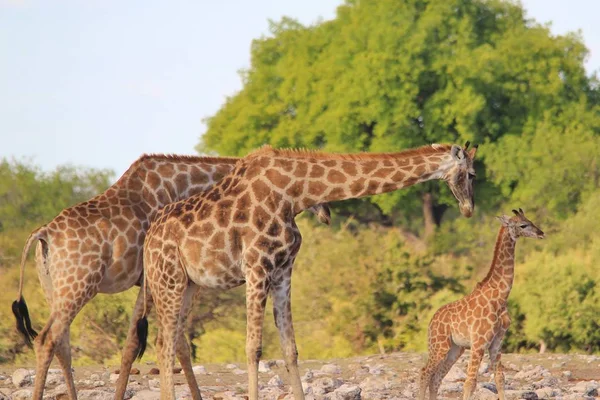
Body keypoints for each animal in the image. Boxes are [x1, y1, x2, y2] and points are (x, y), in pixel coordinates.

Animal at [10, 153, 328, 400]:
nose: (325, 212)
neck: (190, 185)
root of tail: (42, 235)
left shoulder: (157, 281)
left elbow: (139, 344)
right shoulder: (161, 279)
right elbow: (166, 343)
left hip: (55, 289)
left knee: (61, 342)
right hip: (78, 286)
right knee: (47, 339)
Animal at [136, 142, 478, 398]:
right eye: (471, 174)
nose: (468, 208)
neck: (295, 192)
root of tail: (148, 240)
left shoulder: (283, 270)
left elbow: (290, 349)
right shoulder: (257, 267)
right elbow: (253, 348)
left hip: (189, 285)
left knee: (169, 341)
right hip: (168, 280)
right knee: (165, 344)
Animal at [418, 209, 544, 400]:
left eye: (530, 220)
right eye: (523, 225)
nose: (541, 233)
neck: (500, 297)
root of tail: (432, 321)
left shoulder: (497, 342)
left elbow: (500, 378)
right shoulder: (478, 343)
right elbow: (470, 383)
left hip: (455, 349)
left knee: (436, 378)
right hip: (439, 345)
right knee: (425, 372)